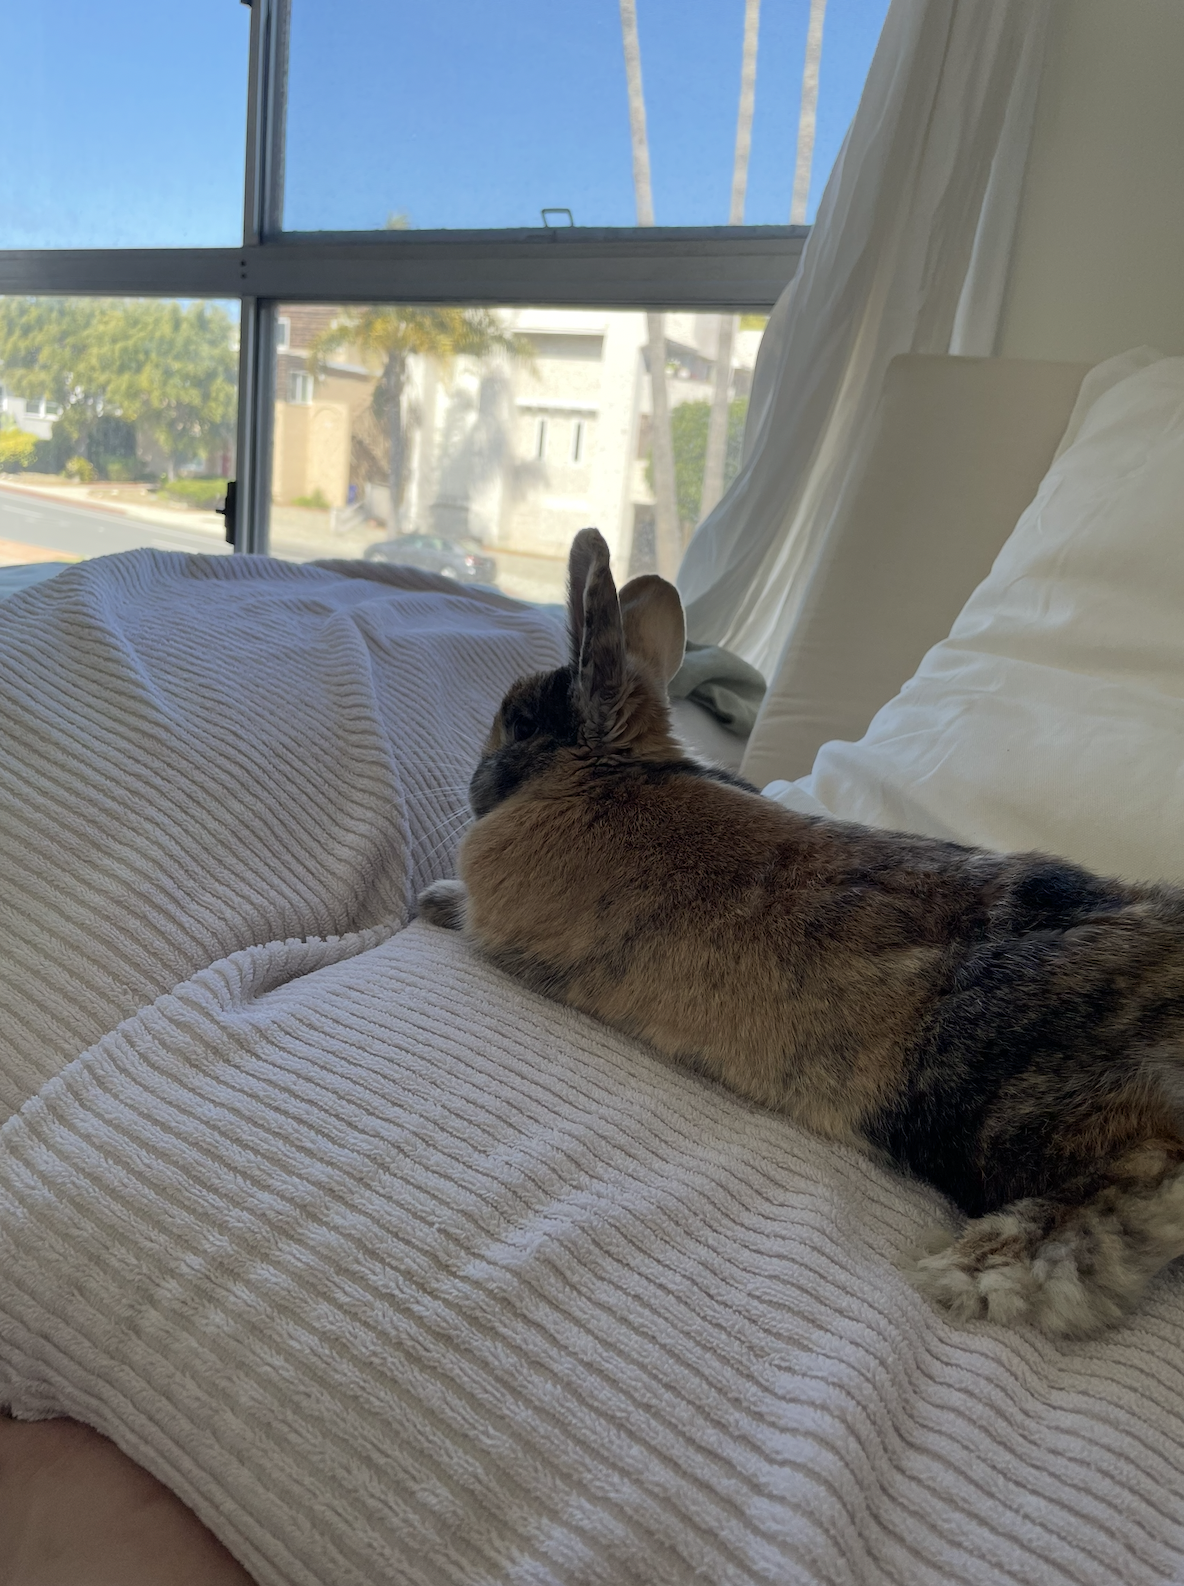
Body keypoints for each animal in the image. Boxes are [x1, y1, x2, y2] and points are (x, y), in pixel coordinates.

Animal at [419, 527, 1184, 1337]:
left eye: (521, 722)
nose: (475, 780)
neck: (614, 772)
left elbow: (463, 912)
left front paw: (430, 899)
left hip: (1011, 1110)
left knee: (1138, 1190)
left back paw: (977, 1271)